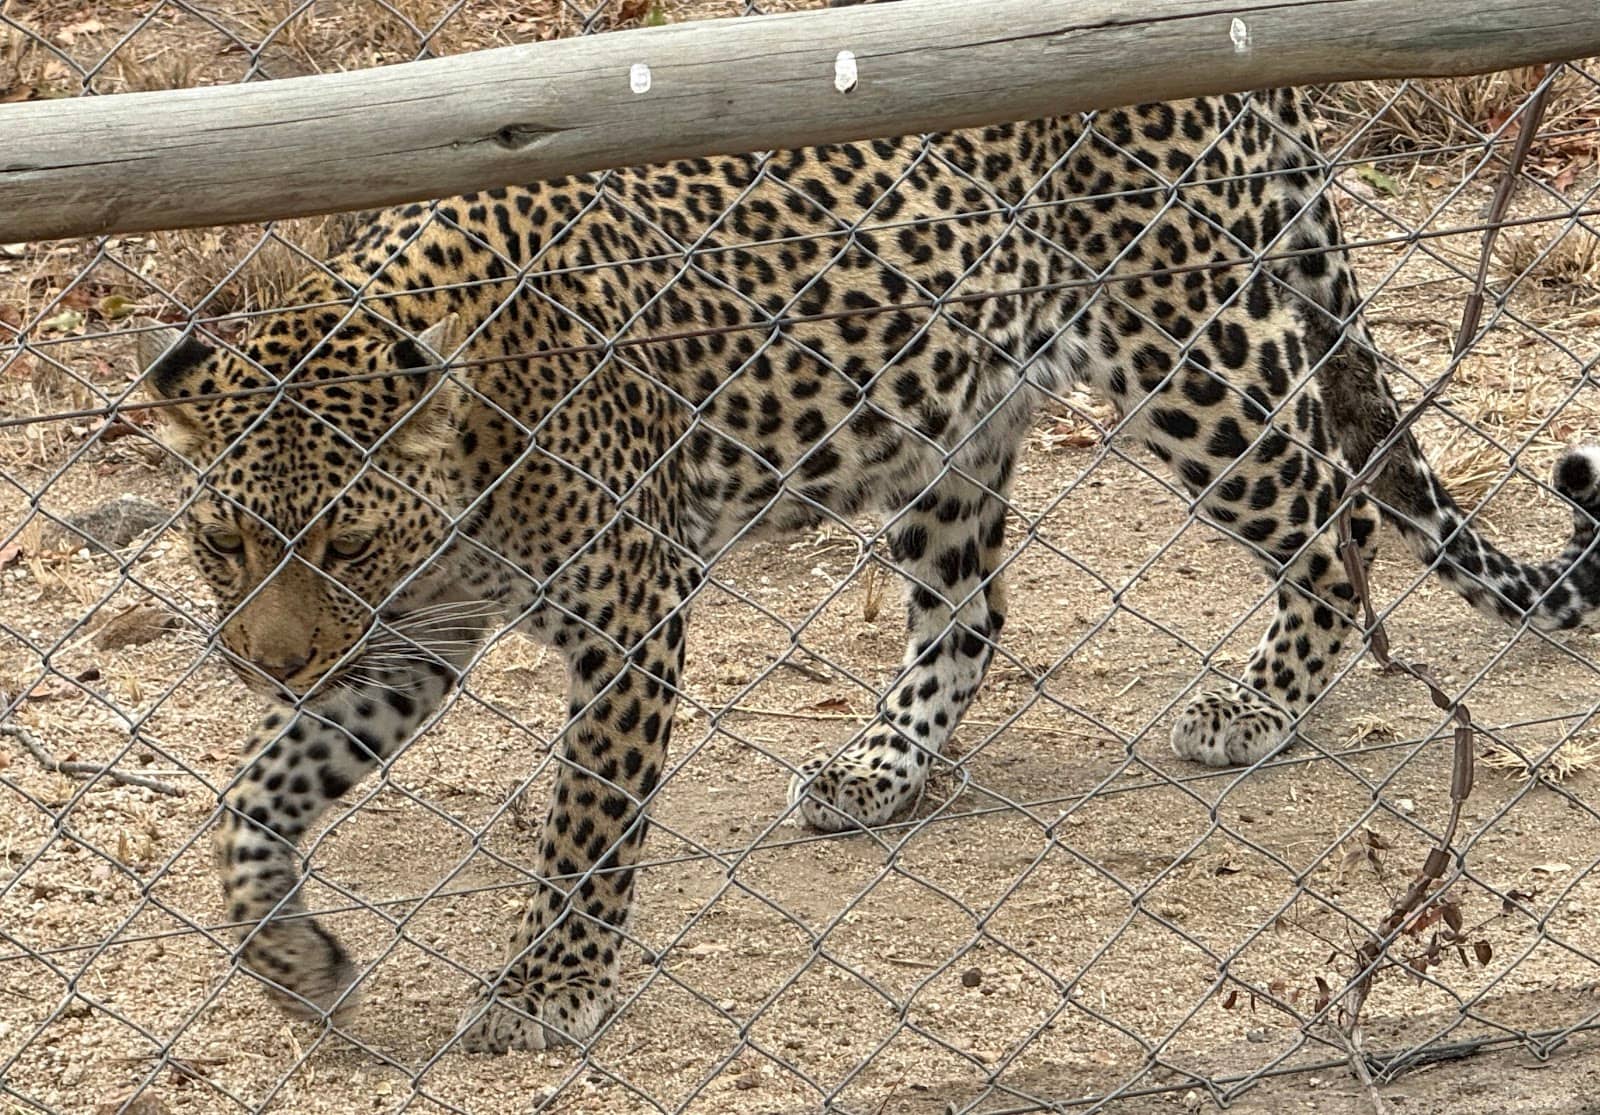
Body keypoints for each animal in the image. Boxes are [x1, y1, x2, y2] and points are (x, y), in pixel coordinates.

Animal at [136, 83, 1600, 1054]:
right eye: (225, 542)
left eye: (344, 540)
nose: (259, 660)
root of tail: (1247, 85)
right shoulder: (407, 635)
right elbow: (255, 793)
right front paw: (293, 956)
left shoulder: (627, 608)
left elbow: (589, 814)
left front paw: (552, 981)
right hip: (950, 416)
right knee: (972, 609)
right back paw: (878, 766)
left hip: (1191, 362)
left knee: (1333, 513)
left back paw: (1261, 700)